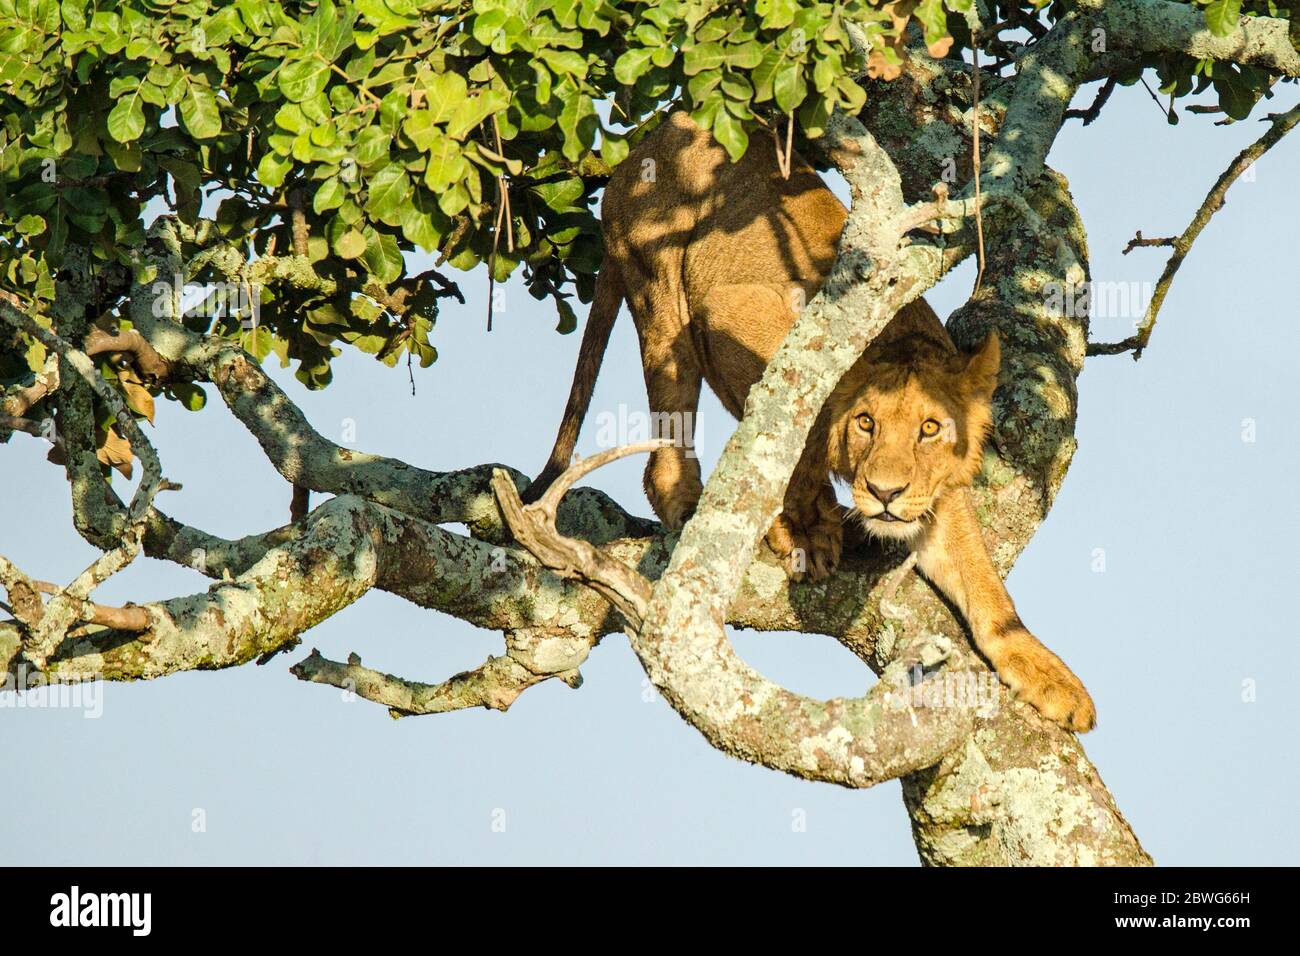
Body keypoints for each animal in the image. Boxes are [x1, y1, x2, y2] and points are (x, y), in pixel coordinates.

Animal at [522, 111, 1092, 733]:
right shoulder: (735, 319)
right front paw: (800, 530)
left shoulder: (937, 495)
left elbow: (983, 581)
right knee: (668, 448)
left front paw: (1046, 672)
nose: (885, 493)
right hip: (663, 294)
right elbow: (785, 438)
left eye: (930, 429)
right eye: (866, 423)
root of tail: (648, 139)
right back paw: (698, 506)